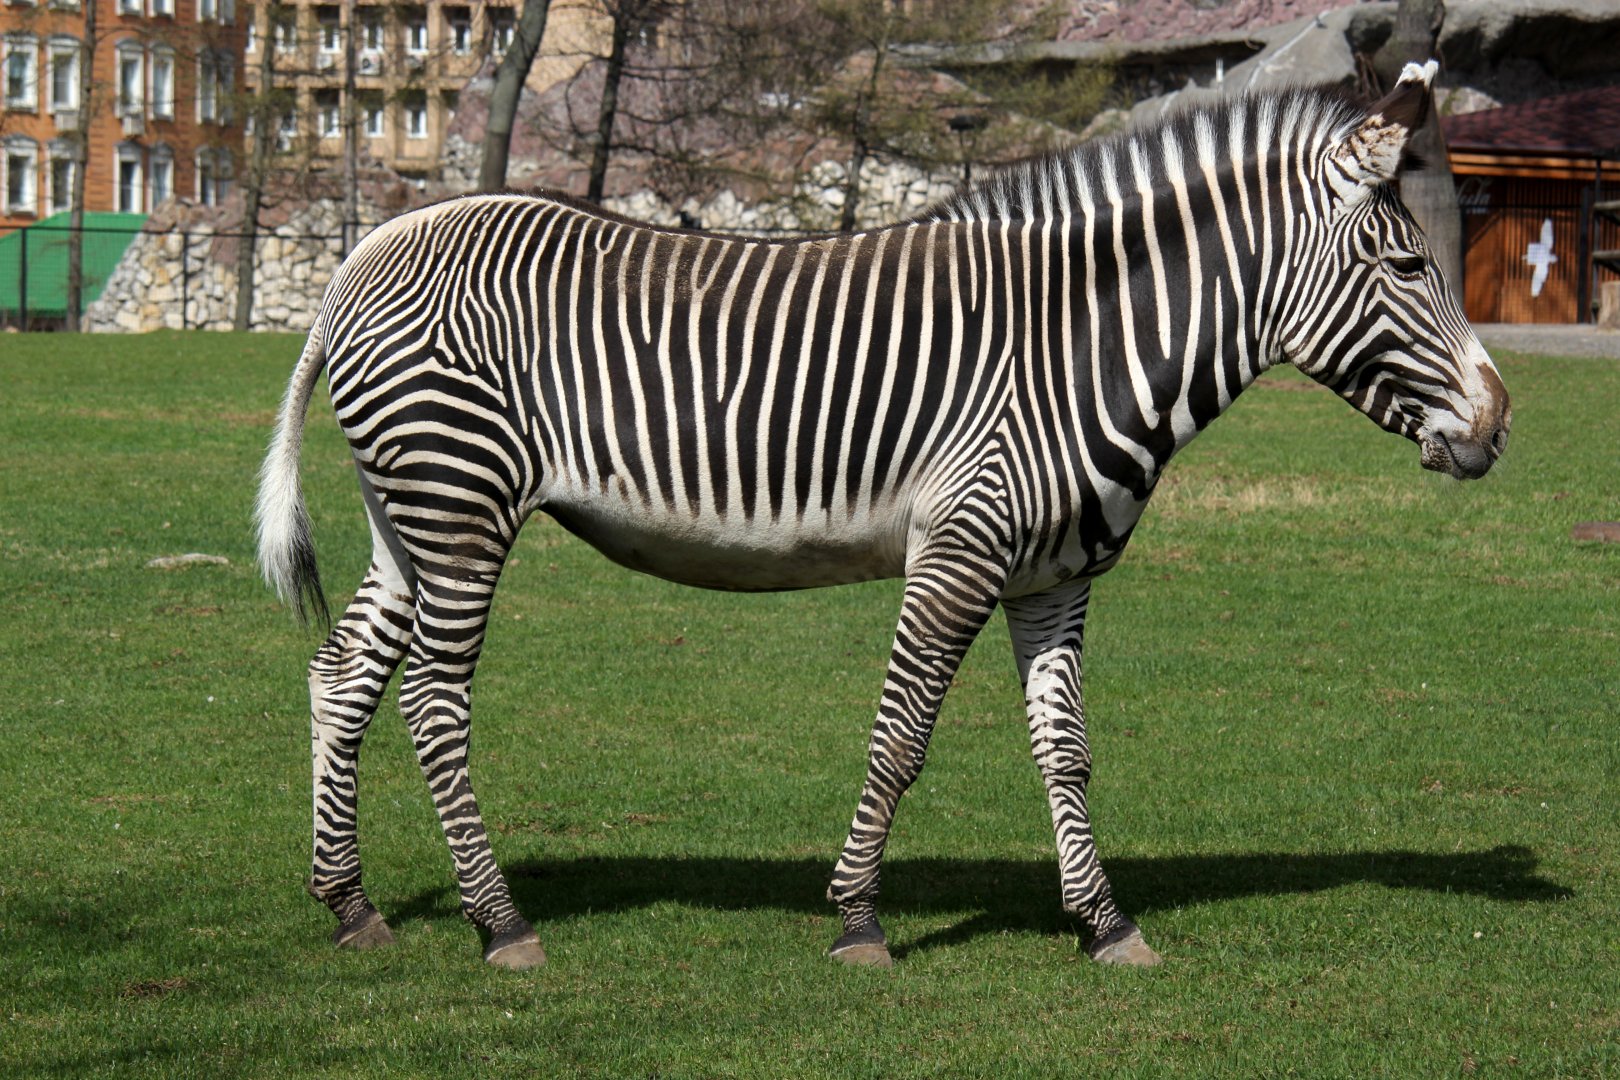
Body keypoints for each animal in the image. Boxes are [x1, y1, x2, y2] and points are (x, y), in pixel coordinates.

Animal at [257, 61, 1510, 971]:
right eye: (1409, 265)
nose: (1500, 423)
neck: (1081, 351)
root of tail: (369, 250)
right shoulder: (960, 548)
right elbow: (901, 736)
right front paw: (859, 920)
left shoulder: (1056, 573)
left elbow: (1067, 752)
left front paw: (1105, 923)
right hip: (459, 503)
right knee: (433, 702)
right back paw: (501, 924)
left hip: (410, 513)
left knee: (341, 672)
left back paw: (347, 903)